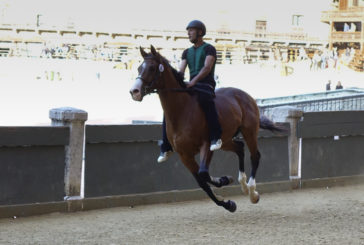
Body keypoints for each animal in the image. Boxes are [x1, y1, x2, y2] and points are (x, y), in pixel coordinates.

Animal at [130, 46, 284, 212]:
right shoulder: (184, 155)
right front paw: (227, 202)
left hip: (249, 131)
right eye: (139, 68)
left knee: (255, 156)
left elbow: (203, 174)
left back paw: (252, 192)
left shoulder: (206, 145)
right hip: (226, 140)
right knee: (240, 148)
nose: (134, 91)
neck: (183, 110)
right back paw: (242, 184)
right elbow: (201, 182)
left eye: (152, 68)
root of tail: (245, 95)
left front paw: (224, 180)